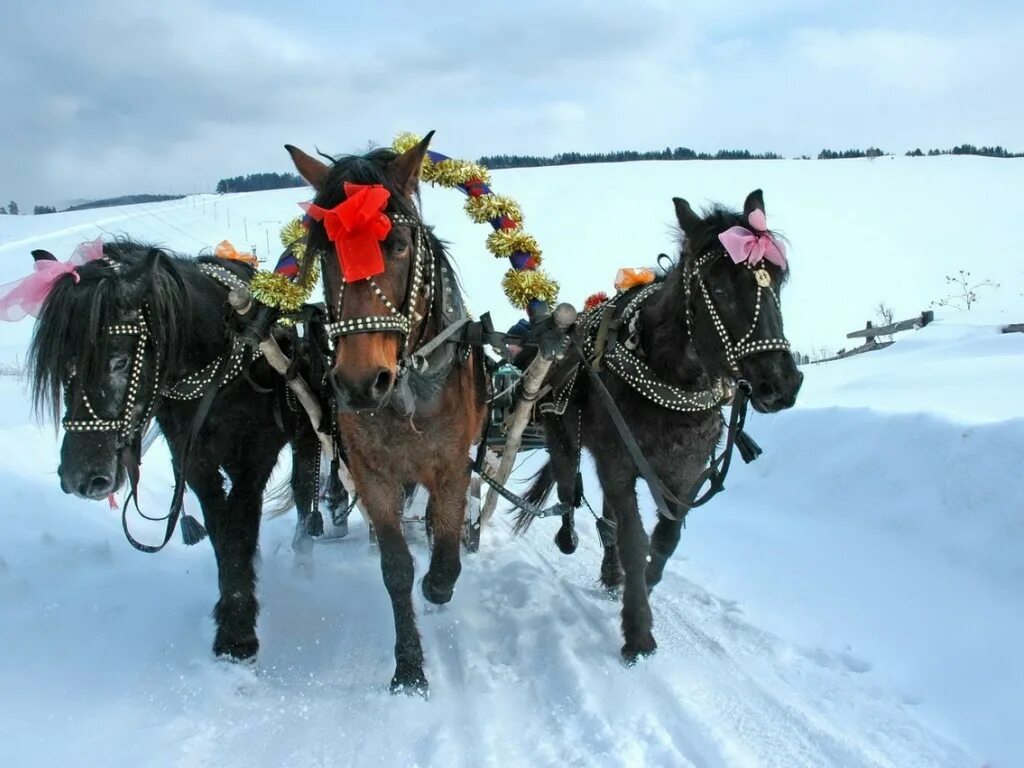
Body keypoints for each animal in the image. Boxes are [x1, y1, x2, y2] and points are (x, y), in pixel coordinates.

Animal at [29, 241, 333, 663]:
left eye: (119, 361)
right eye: (63, 368)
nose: (81, 478)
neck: (220, 360)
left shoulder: (251, 461)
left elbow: (239, 527)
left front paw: (238, 633)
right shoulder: (195, 462)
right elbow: (221, 531)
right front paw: (234, 607)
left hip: (307, 428)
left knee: (305, 490)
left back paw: (304, 558)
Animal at [284, 135, 483, 696]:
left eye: (397, 244)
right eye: (325, 250)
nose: (358, 382)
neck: (407, 392)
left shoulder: (453, 465)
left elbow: (445, 550)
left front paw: (437, 584)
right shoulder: (373, 473)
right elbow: (396, 568)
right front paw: (409, 668)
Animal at [524, 191, 802, 663]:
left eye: (776, 283)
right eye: (720, 288)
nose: (781, 382)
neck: (671, 377)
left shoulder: (684, 473)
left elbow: (664, 541)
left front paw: (642, 590)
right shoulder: (619, 463)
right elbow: (635, 540)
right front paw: (638, 630)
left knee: (606, 515)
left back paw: (609, 570)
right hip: (562, 432)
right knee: (565, 485)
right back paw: (569, 536)